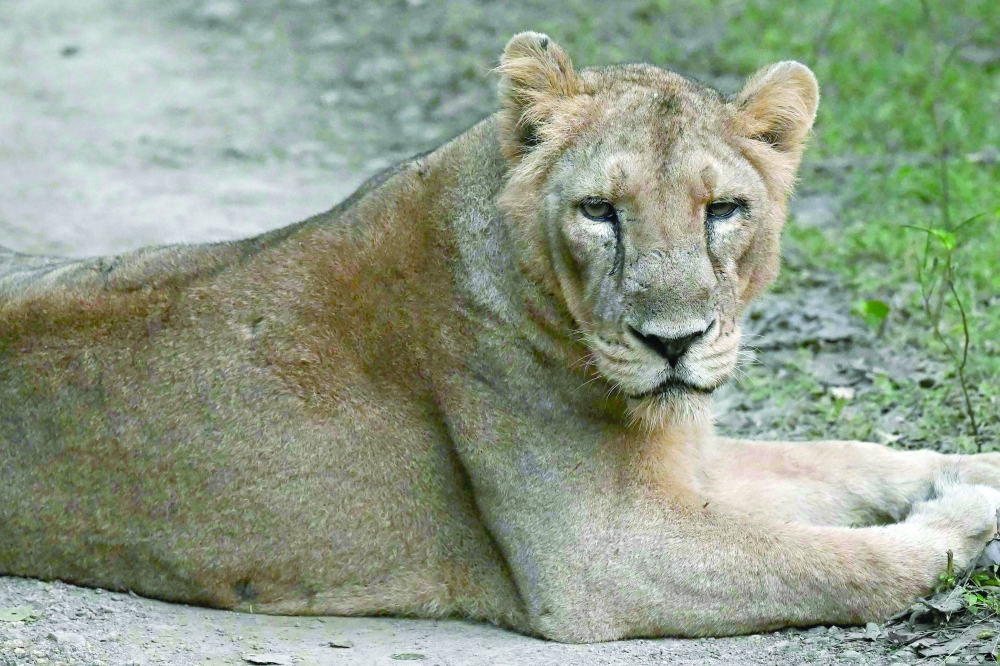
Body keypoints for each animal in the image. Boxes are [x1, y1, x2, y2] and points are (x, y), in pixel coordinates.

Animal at [1, 32, 999, 643]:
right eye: (599, 211)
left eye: (724, 210)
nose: (674, 342)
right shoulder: (602, 552)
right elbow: (846, 561)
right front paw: (964, 523)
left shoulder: (687, 460)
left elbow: (844, 456)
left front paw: (973, 472)